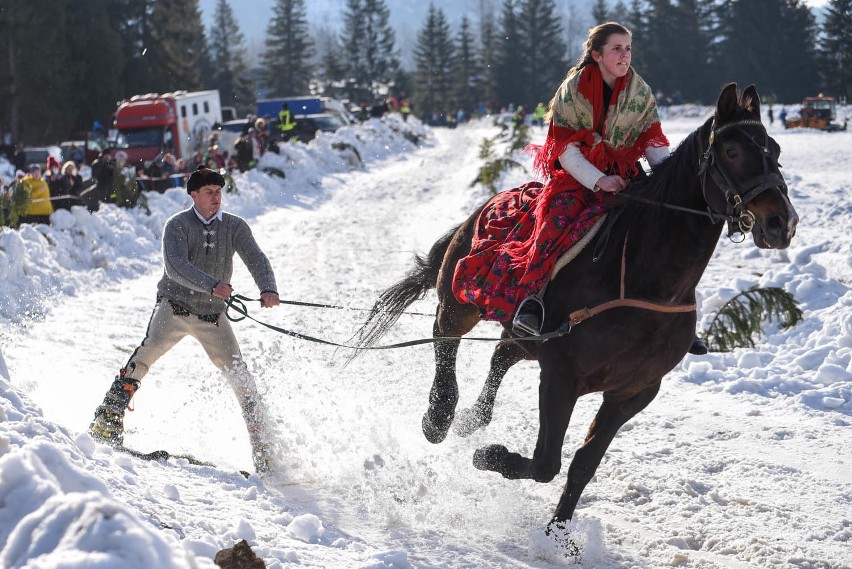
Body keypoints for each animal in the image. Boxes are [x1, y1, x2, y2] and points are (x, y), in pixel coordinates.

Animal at [352, 83, 800, 524]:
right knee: (444, 337)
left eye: (776, 150)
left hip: (531, 337)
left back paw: (472, 418)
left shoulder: (632, 393)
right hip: (461, 299)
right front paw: (489, 455)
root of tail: (487, 204)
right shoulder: (561, 377)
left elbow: (583, 465)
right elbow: (546, 462)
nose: (782, 222)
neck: (646, 287)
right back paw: (440, 416)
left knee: (501, 353)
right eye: (732, 151)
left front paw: (559, 531)